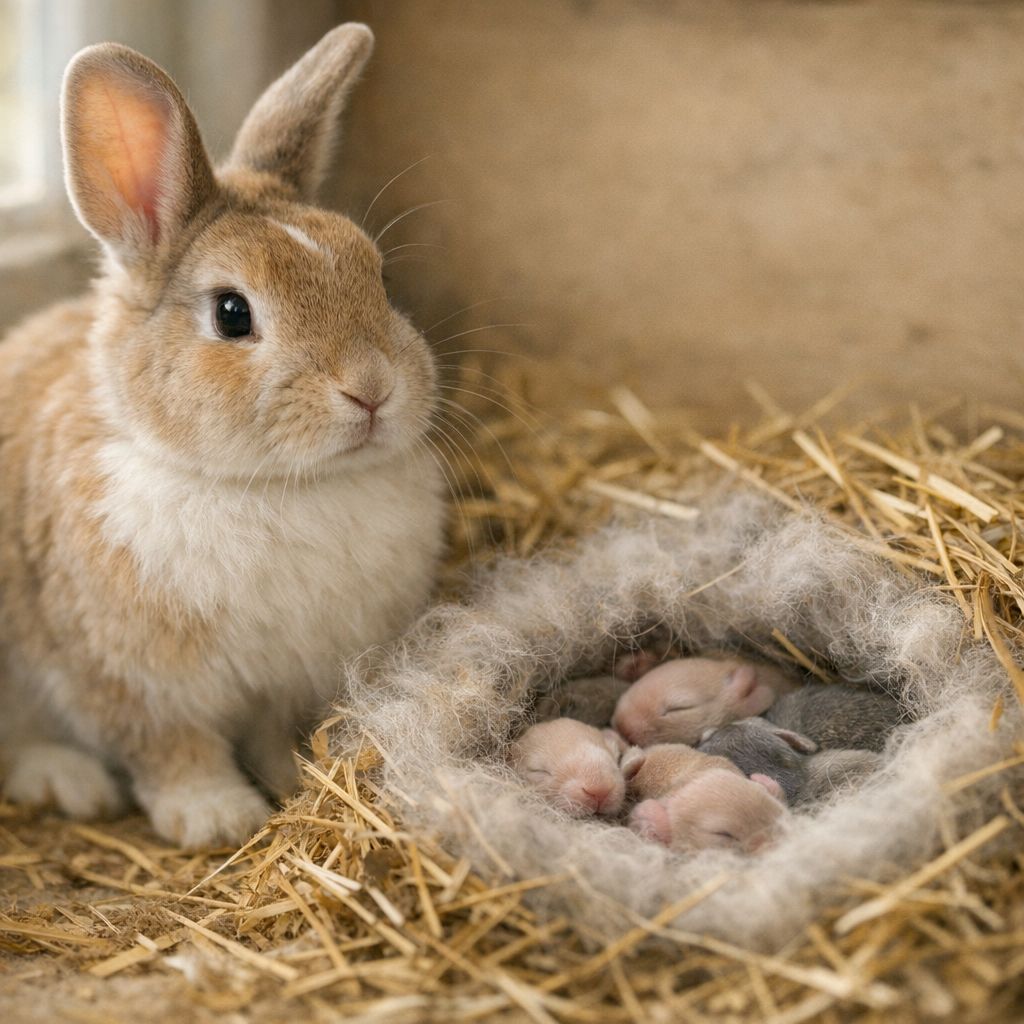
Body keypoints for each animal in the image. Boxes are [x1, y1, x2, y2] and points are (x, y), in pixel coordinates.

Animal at [0, 24, 448, 849]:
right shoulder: (131, 682)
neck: (270, 486)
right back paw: (66, 780)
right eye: (232, 314)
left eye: (378, 277)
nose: (372, 389)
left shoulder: (290, 682)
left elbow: (273, 735)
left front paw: (295, 780)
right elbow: (173, 750)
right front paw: (215, 816)